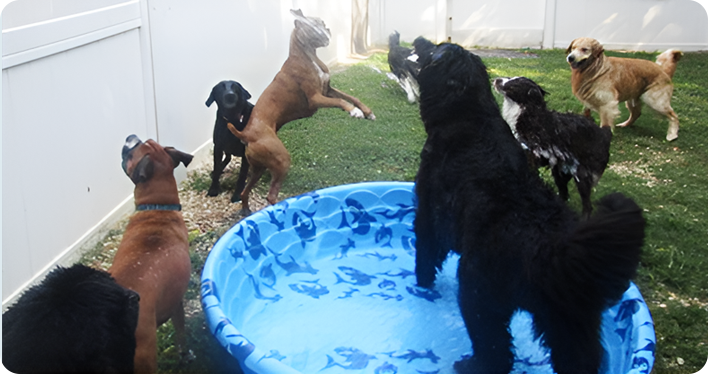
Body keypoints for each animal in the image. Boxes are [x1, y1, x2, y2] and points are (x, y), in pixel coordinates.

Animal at [230, 8, 376, 213]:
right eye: (315, 25)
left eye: (322, 23)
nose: (328, 29)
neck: (309, 56)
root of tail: (246, 134)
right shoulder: (316, 98)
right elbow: (341, 100)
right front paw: (354, 111)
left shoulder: (328, 90)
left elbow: (349, 96)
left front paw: (366, 111)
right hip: (282, 160)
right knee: (271, 196)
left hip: (258, 168)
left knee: (245, 191)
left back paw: (245, 209)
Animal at [492, 76, 612, 216]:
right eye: (510, 78)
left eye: (514, 84)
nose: (496, 79)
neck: (529, 115)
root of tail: (605, 133)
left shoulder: (532, 160)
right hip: (560, 172)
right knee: (564, 194)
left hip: (581, 175)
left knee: (587, 206)